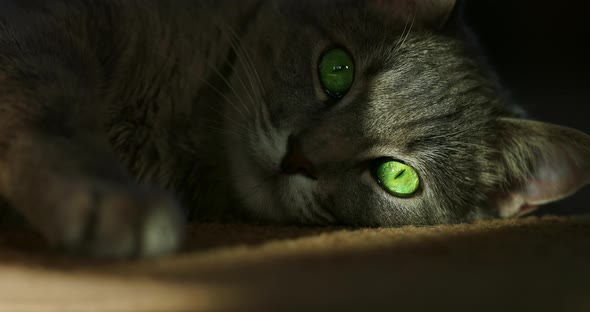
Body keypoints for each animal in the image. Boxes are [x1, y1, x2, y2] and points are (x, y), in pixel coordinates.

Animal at [0, 0, 588, 258]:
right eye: (337, 69)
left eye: (398, 177)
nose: (297, 157)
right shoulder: (52, 28)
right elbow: (55, 111)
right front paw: (106, 197)